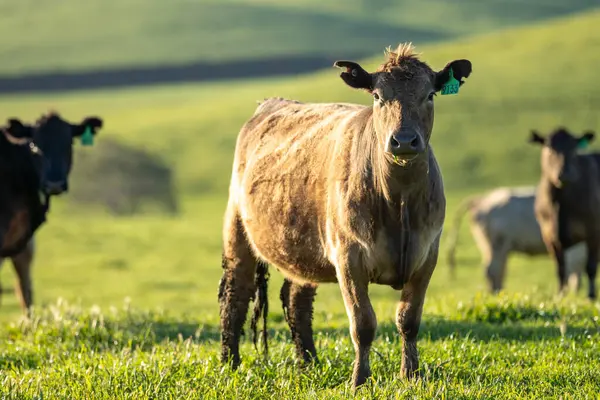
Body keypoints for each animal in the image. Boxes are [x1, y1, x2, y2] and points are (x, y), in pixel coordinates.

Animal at [528, 126, 600, 298]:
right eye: (549, 147)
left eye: (574, 148)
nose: (564, 173)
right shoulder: (549, 236)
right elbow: (560, 269)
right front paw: (560, 295)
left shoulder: (593, 231)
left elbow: (591, 266)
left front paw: (591, 295)